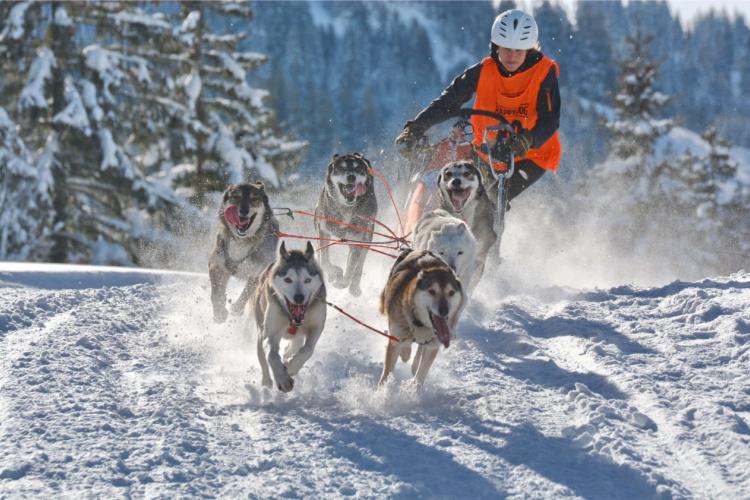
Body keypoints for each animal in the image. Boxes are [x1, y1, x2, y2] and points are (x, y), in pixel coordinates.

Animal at [209, 182, 280, 322]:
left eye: (254, 199)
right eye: (236, 196)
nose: (243, 211)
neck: (241, 241)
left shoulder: (257, 273)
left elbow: (246, 293)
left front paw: (237, 308)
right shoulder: (217, 265)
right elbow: (215, 293)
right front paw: (219, 311)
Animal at [253, 240, 326, 392]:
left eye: (307, 280)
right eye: (288, 279)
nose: (299, 297)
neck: (292, 318)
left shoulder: (316, 326)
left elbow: (307, 350)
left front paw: (291, 366)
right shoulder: (271, 333)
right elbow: (272, 356)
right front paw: (282, 378)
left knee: (296, 344)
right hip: (260, 330)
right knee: (262, 358)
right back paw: (266, 381)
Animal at [314, 152, 378, 296]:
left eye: (357, 168)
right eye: (341, 168)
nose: (351, 176)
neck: (346, 208)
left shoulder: (358, 240)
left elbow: (351, 267)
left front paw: (343, 283)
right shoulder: (323, 230)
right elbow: (324, 260)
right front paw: (336, 272)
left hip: (366, 238)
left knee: (359, 264)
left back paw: (354, 286)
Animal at [382, 250, 464, 386]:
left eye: (451, 292)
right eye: (432, 291)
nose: (444, 310)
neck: (418, 322)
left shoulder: (433, 346)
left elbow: (421, 375)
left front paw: (414, 388)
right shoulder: (396, 339)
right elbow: (387, 373)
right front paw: (383, 389)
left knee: (420, 348)